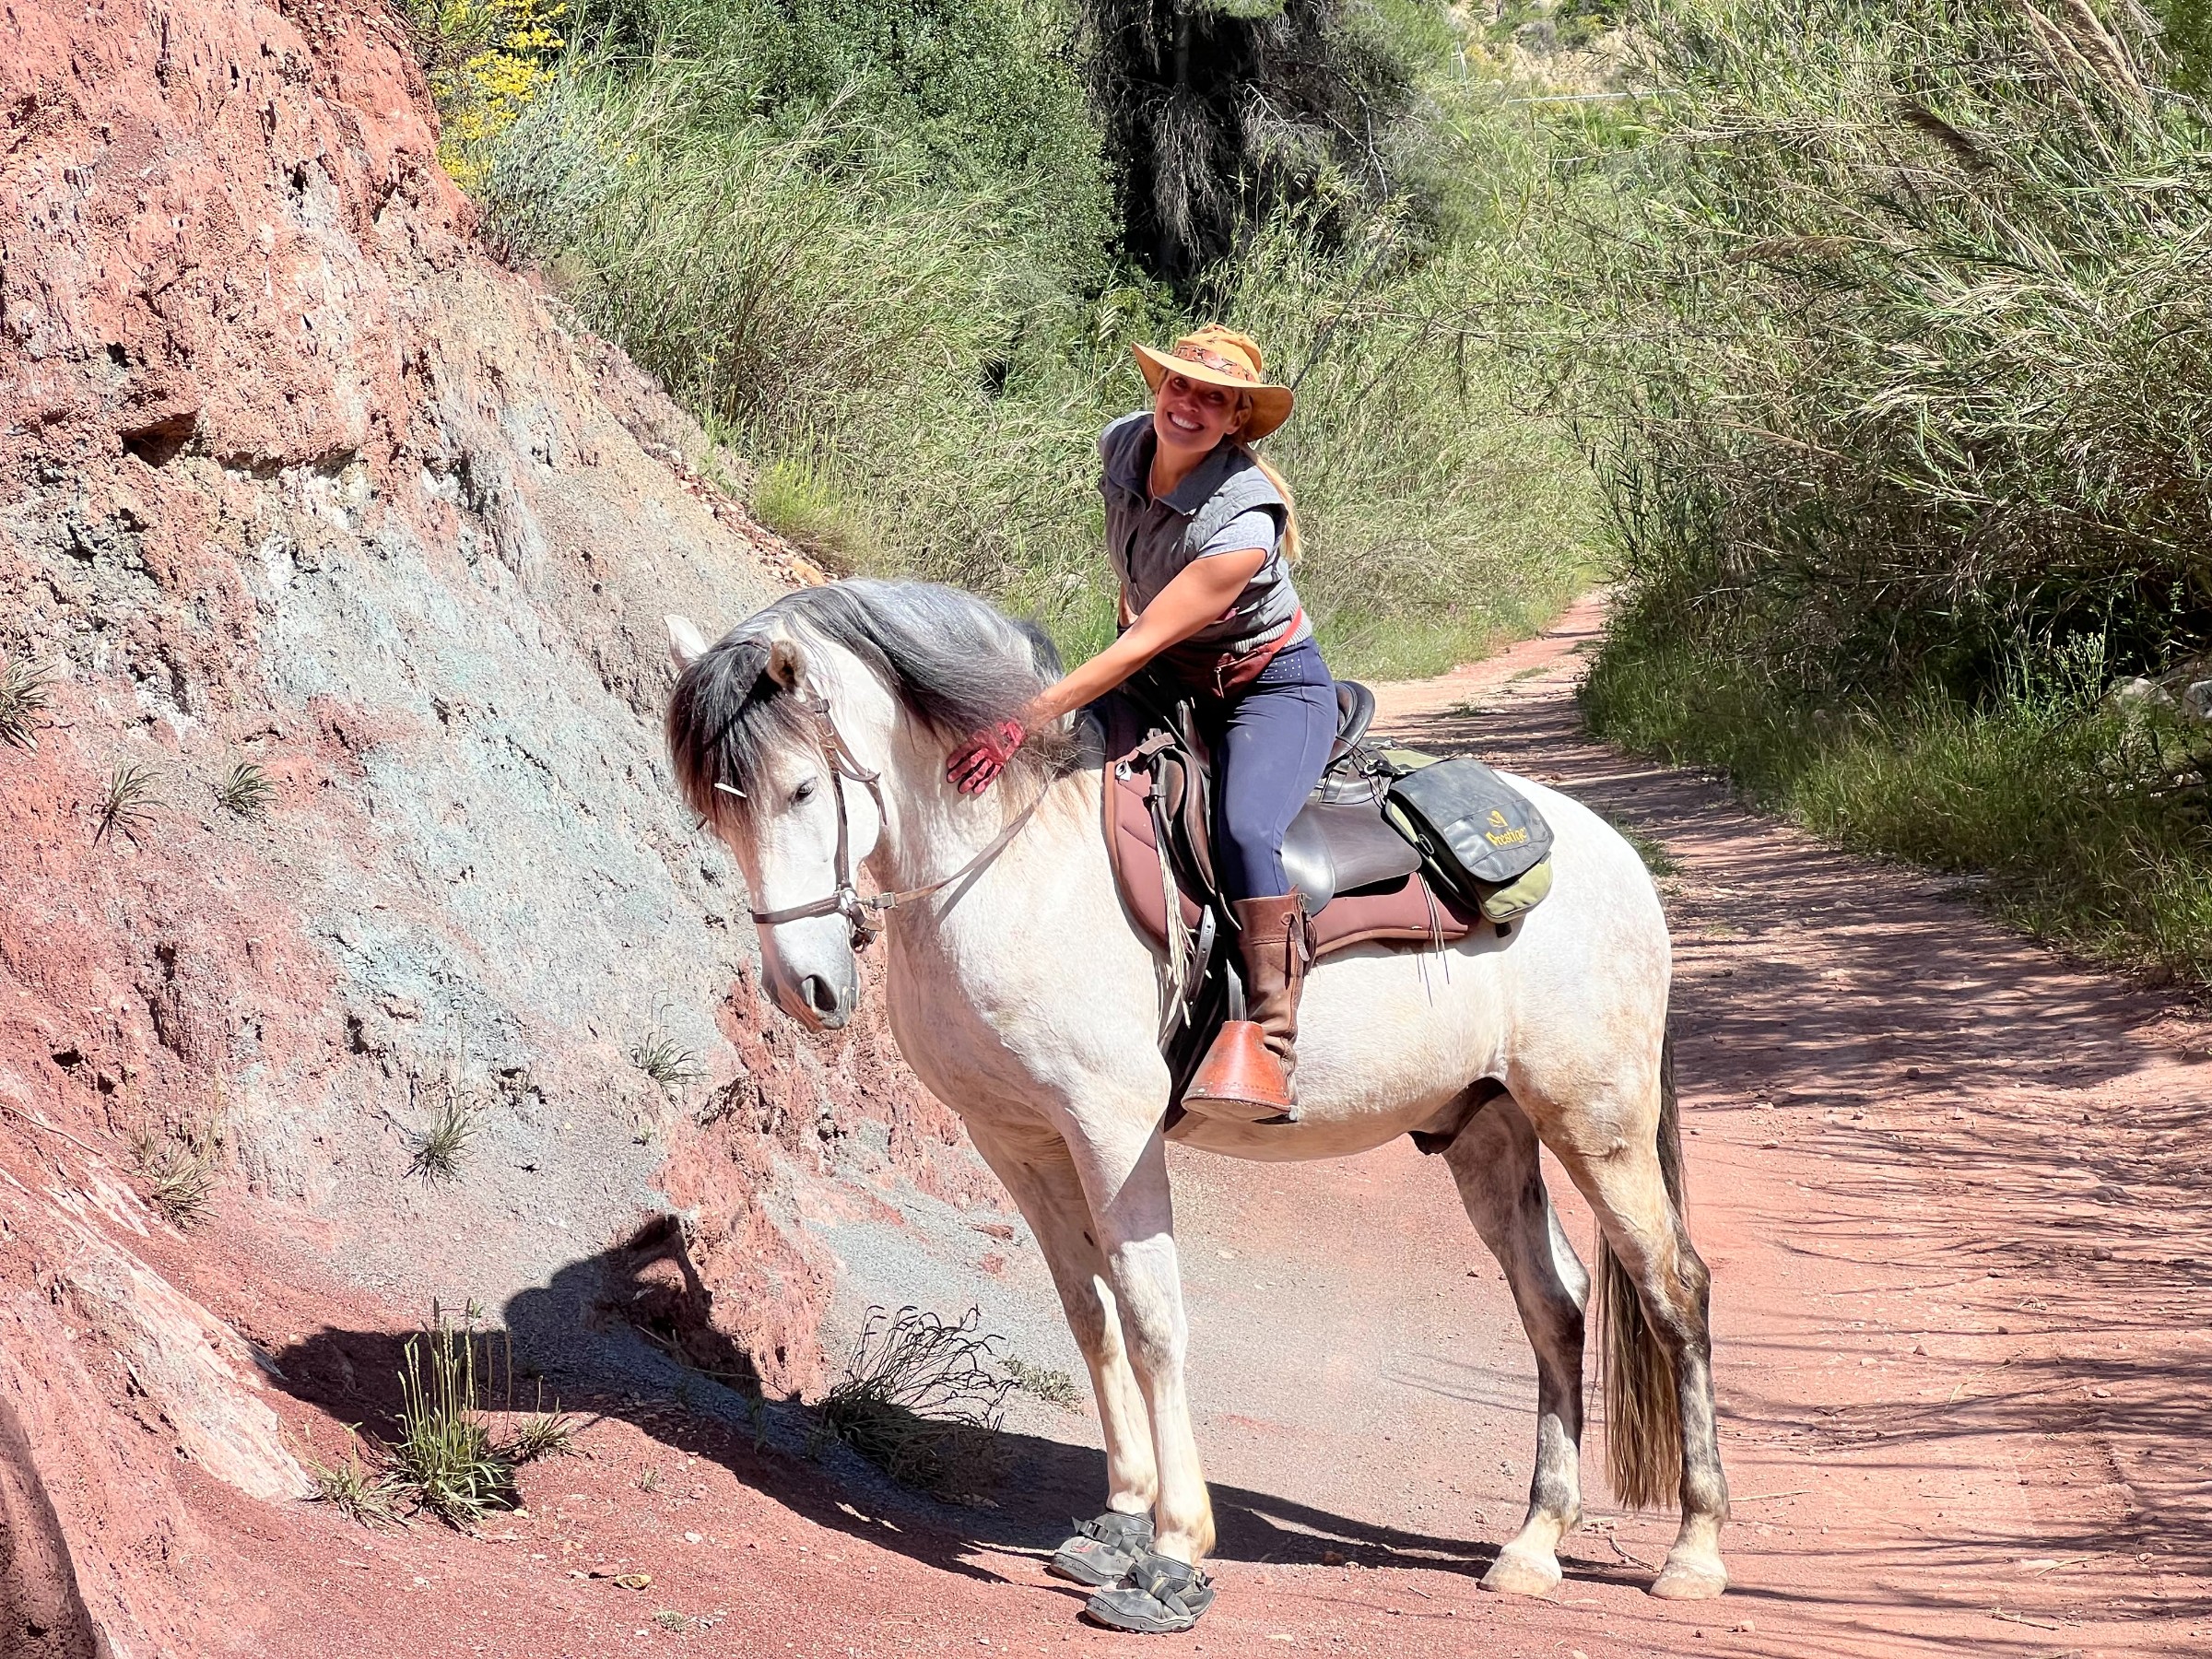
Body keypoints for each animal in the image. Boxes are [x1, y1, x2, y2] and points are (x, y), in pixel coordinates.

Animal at [662, 578, 1727, 1626]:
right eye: (720, 813)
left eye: (803, 790)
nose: (803, 988)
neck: (1021, 864)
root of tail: (1614, 859)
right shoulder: (1019, 1141)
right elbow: (1089, 1315)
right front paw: (1119, 1522)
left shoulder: (1112, 1132)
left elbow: (1153, 1320)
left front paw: (1174, 1550)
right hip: (1488, 1132)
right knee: (1555, 1303)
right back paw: (1535, 1545)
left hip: (1597, 1127)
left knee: (1674, 1288)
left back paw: (1694, 1552)